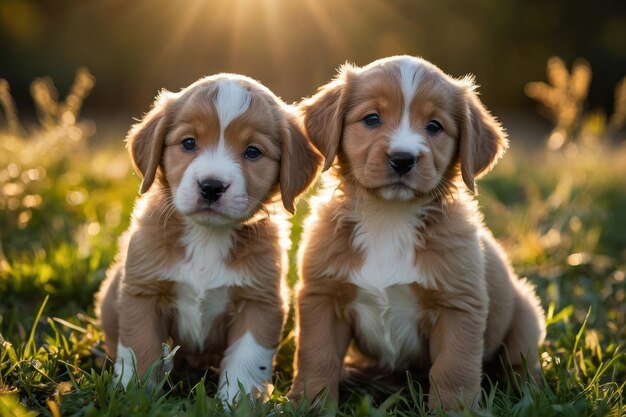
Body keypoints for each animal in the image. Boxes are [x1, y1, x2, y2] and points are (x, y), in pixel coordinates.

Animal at [96, 74, 322, 400]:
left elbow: (247, 361)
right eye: (189, 143)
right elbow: (140, 350)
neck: (207, 236)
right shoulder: (143, 292)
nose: (211, 187)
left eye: (253, 152)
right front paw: (132, 396)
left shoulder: (259, 302)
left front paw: (238, 403)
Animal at [290, 56, 544, 410]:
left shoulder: (458, 307)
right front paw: (310, 404)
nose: (402, 159)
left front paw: (454, 412)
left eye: (434, 126)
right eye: (372, 119)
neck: (389, 219)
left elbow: (453, 370)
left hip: (525, 314)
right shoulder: (321, 297)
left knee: (521, 365)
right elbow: (317, 357)